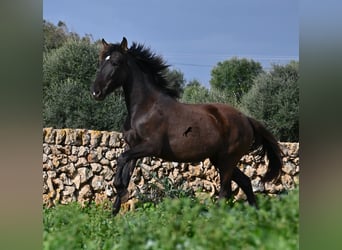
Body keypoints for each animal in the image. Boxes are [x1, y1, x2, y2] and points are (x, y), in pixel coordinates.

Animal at [90, 37, 280, 215]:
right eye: (101, 62)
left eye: (115, 63)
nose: (96, 92)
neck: (145, 108)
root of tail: (246, 119)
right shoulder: (133, 147)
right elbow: (125, 173)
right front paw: (113, 213)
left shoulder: (150, 146)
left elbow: (121, 160)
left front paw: (120, 192)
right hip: (220, 159)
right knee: (246, 182)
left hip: (228, 160)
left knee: (225, 191)